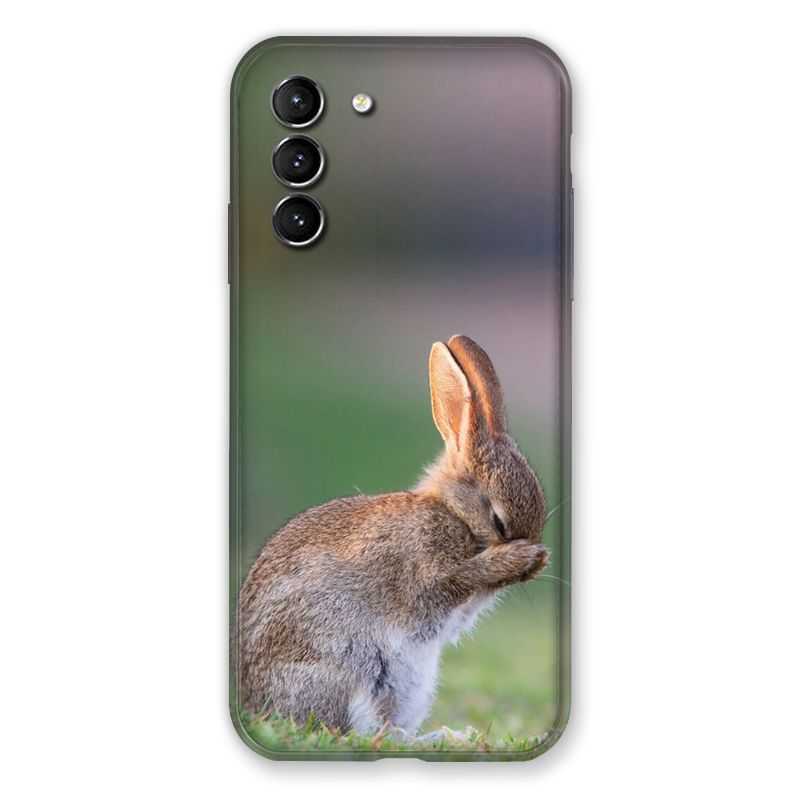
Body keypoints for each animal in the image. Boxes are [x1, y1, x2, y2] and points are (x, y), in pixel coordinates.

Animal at [237, 335, 549, 736]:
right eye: (498, 521)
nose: (534, 558)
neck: (453, 513)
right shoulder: (426, 571)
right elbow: (454, 580)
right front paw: (519, 558)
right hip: (351, 667)